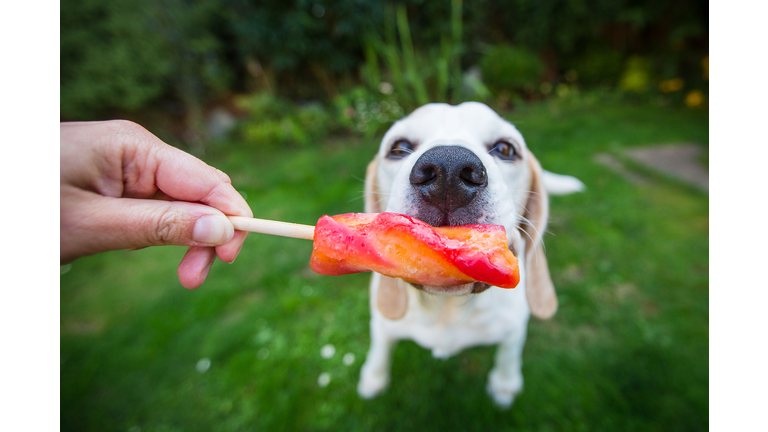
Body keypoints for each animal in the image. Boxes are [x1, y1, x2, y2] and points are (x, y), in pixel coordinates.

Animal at [356, 102, 584, 408]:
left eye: (506, 149)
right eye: (399, 147)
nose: (447, 169)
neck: (447, 309)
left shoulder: (514, 328)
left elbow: (508, 354)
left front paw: (505, 384)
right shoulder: (382, 321)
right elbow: (381, 346)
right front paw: (373, 378)